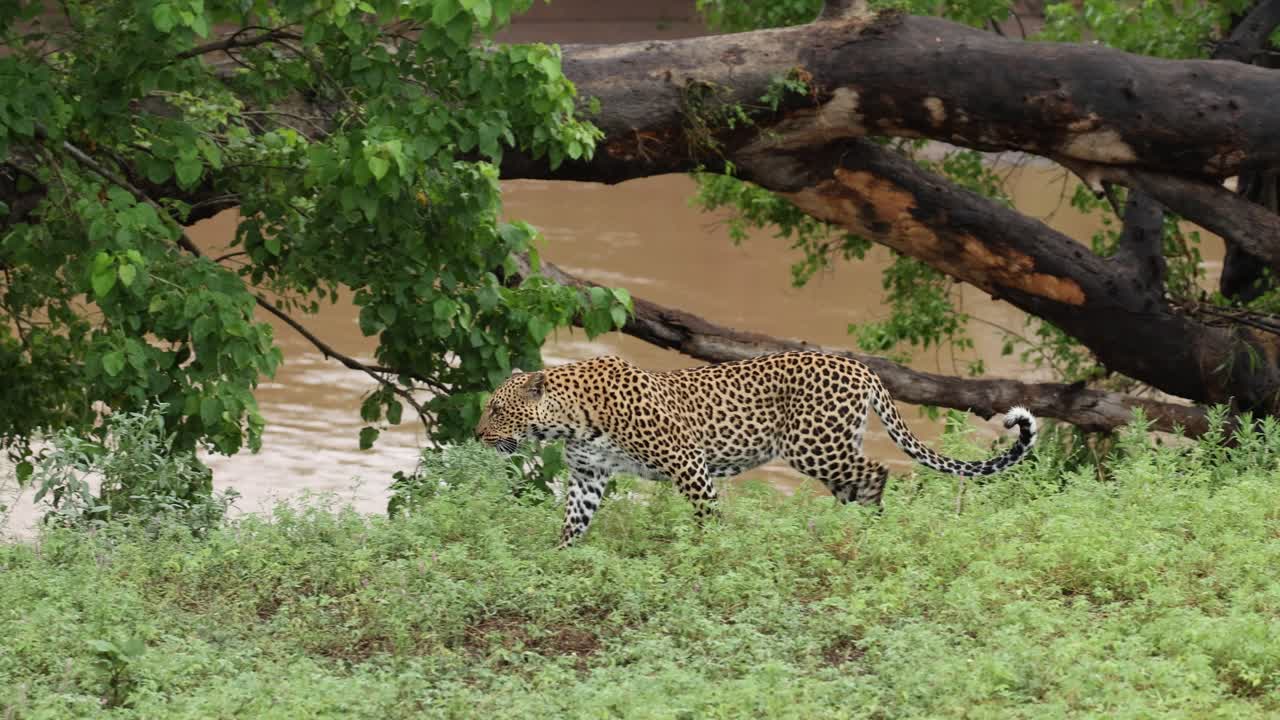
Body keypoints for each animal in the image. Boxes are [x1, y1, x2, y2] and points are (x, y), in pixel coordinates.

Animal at [474, 351, 1036, 547]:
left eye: (497, 410)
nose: (478, 435)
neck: (570, 421)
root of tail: (859, 365)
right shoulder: (588, 476)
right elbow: (574, 521)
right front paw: (558, 559)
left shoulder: (687, 462)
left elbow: (706, 513)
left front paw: (709, 554)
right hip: (830, 448)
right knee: (858, 480)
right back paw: (841, 528)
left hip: (814, 445)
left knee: (878, 471)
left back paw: (866, 528)